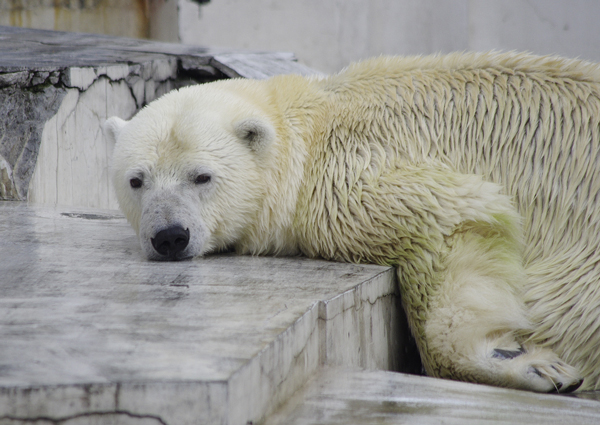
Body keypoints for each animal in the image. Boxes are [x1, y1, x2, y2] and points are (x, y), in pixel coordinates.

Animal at [104, 51, 600, 392]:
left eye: (201, 176)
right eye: (137, 180)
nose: (170, 236)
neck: (311, 125)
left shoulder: (353, 171)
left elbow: (454, 217)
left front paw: (531, 363)